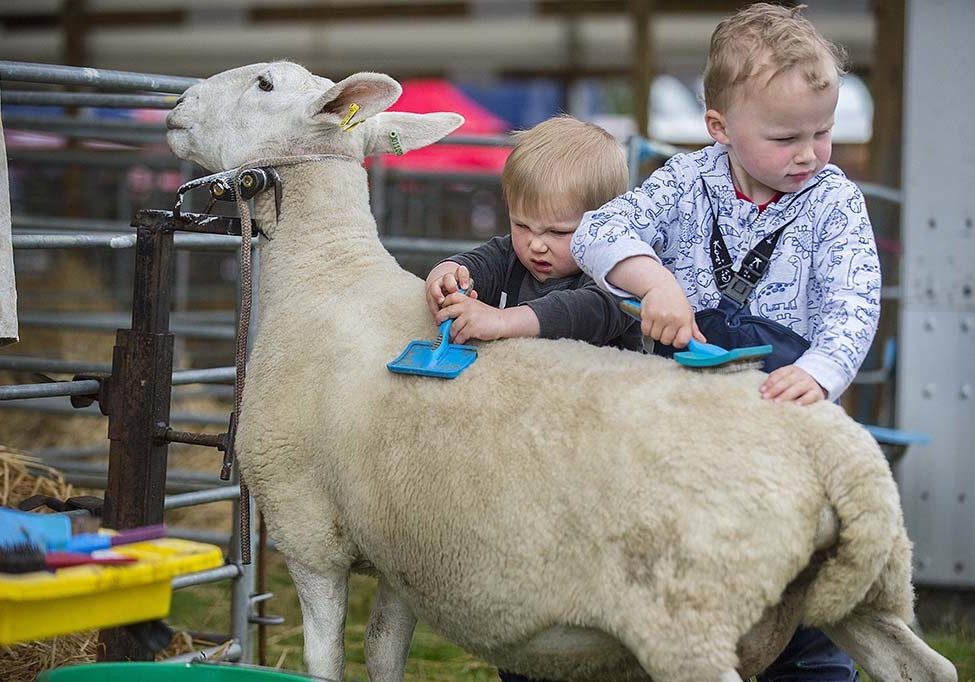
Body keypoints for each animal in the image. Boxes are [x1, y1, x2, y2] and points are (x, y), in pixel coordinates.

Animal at [168, 59, 960, 680]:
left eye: (264, 83)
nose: (175, 106)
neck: (323, 275)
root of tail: (838, 457)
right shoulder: (400, 555)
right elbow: (384, 653)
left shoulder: (309, 532)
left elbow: (326, 659)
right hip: (867, 591)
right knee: (925, 665)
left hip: (690, 619)